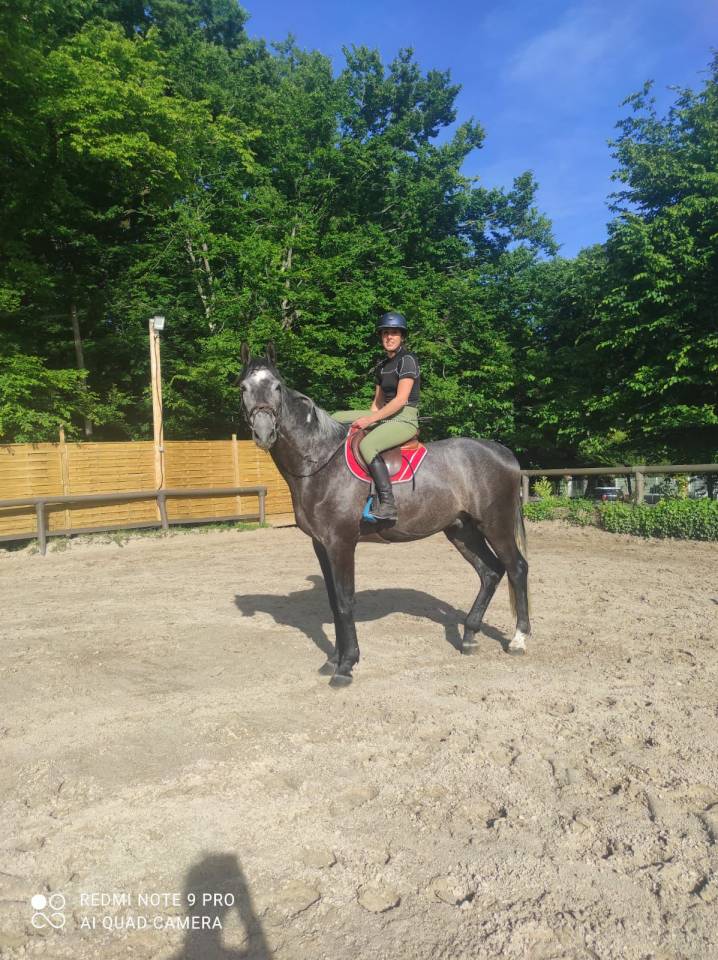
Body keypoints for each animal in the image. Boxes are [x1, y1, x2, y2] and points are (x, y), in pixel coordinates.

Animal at [238, 343, 531, 687]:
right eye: (243, 388)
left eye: (276, 387)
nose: (264, 433)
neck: (320, 461)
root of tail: (503, 452)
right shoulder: (321, 545)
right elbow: (333, 602)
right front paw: (333, 660)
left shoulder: (341, 543)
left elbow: (345, 600)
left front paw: (346, 666)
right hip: (462, 530)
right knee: (490, 572)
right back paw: (469, 636)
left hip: (495, 526)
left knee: (517, 569)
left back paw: (519, 640)